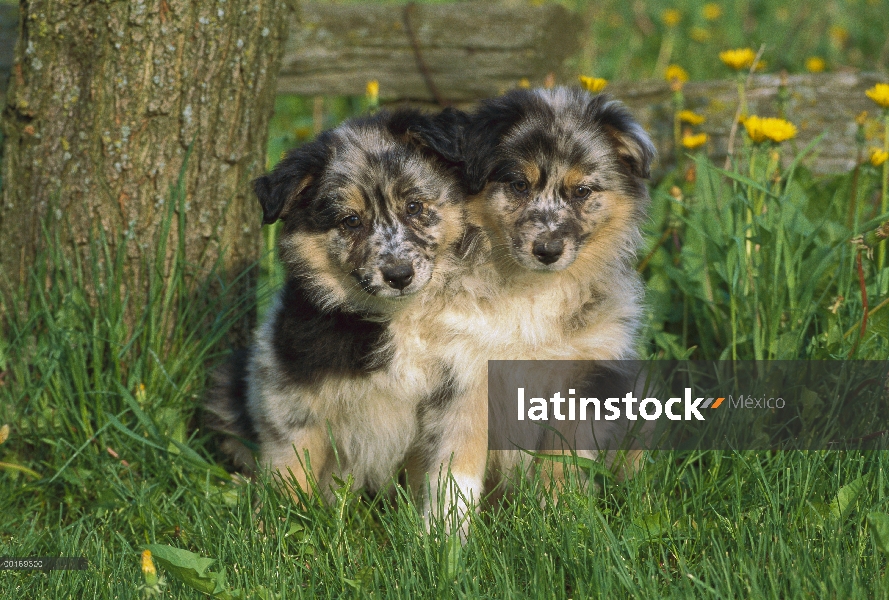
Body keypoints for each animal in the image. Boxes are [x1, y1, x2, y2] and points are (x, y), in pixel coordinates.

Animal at [206, 106, 478, 496]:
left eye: (414, 207)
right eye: (350, 221)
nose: (399, 276)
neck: (398, 317)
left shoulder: (448, 389)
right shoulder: (292, 398)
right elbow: (292, 467)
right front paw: (285, 512)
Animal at [412, 86, 656, 528]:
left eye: (582, 192)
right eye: (518, 185)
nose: (547, 250)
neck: (531, 293)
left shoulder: (583, 377)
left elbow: (562, 461)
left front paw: (561, 522)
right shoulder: (466, 372)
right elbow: (456, 469)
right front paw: (444, 535)